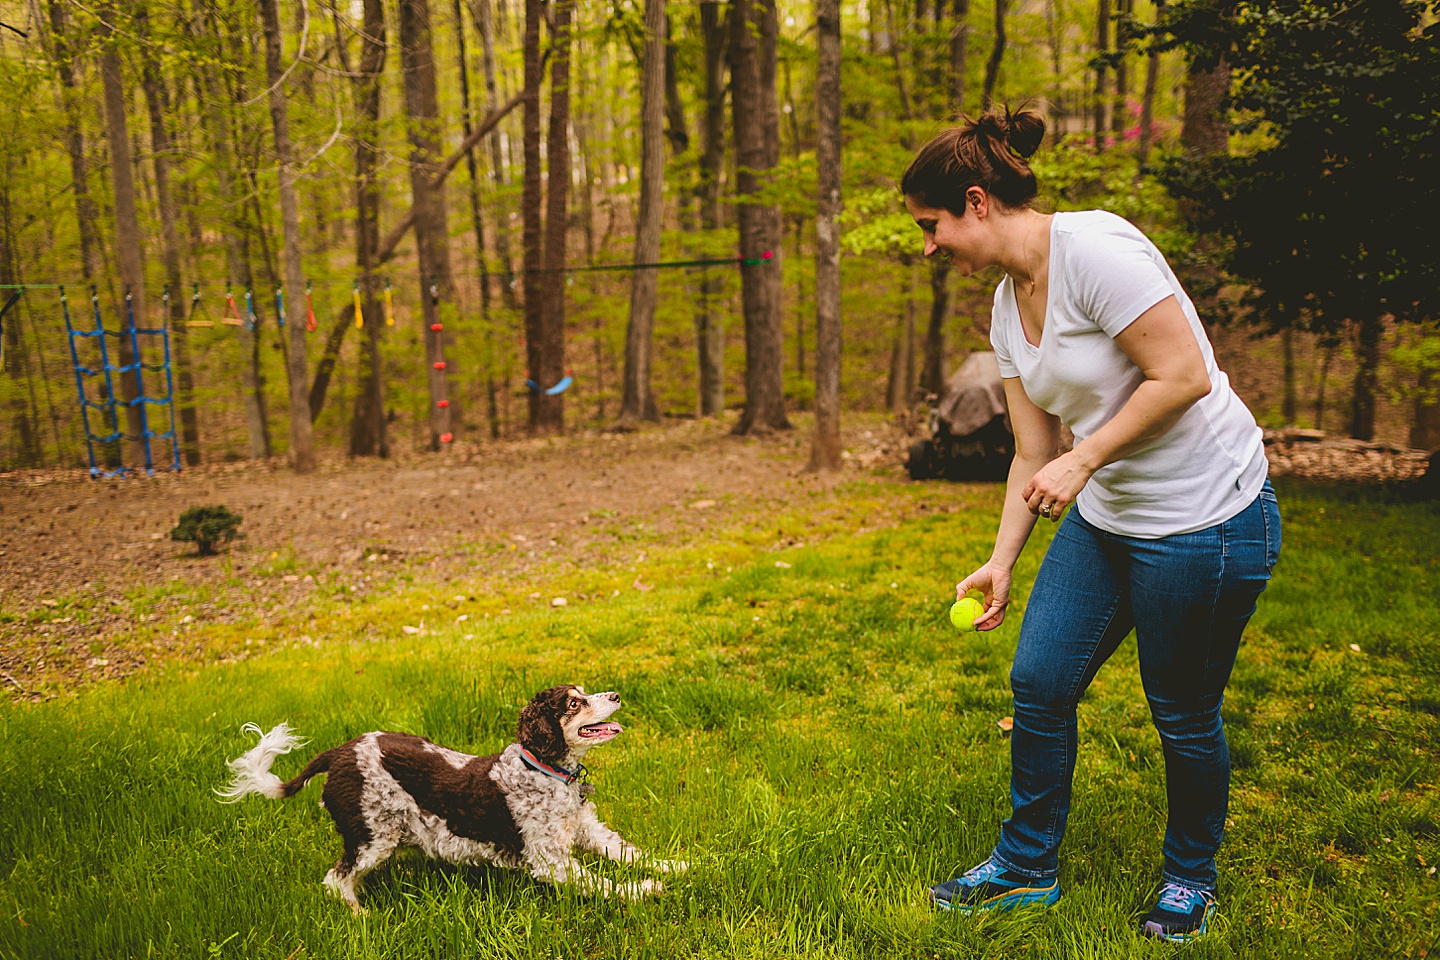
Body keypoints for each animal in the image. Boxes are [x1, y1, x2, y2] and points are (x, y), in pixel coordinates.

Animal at [214, 687, 685, 915]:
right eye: (574, 702)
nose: (617, 695)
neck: (547, 771)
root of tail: (339, 752)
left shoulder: (588, 831)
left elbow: (629, 852)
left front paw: (678, 866)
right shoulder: (550, 860)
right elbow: (605, 883)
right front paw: (645, 890)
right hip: (371, 836)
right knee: (336, 879)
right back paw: (361, 917)